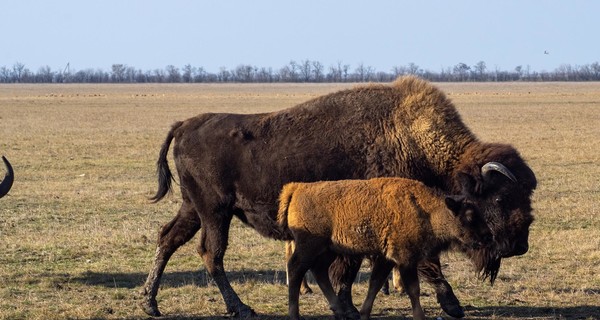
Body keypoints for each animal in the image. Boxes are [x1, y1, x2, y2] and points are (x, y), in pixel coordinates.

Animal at [278, 178, 494, 320]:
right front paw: (419, 316)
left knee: (320, 271)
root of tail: (297, 189)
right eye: (469, 215)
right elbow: (413, 289)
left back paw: (339, 311)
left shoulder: (388, 259)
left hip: (328, 249)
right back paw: (294, 315)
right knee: (296, 268)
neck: (427, 210)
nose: (488, 236)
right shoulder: (405, 259)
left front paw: (364, 314)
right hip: (309, 246)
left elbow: (375, 284)